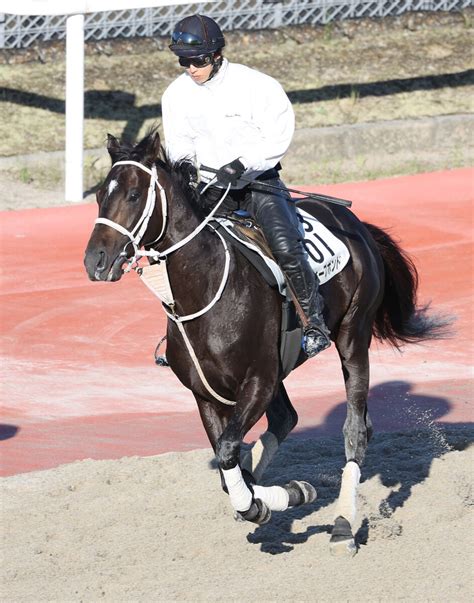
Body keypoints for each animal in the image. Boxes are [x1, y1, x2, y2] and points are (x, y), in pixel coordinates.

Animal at [84, 130, 448, 560]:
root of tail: (353, 221)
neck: (206, 287)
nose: (96, 260)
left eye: (134, 194)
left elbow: (229, 451)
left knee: (355, 429)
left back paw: (343, 525)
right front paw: (278, 495)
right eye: (98, 195)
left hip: (352, 339)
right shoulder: (207, 394)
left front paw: (270, 501)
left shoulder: (257, 381)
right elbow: (227, 460)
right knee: (287, 419)